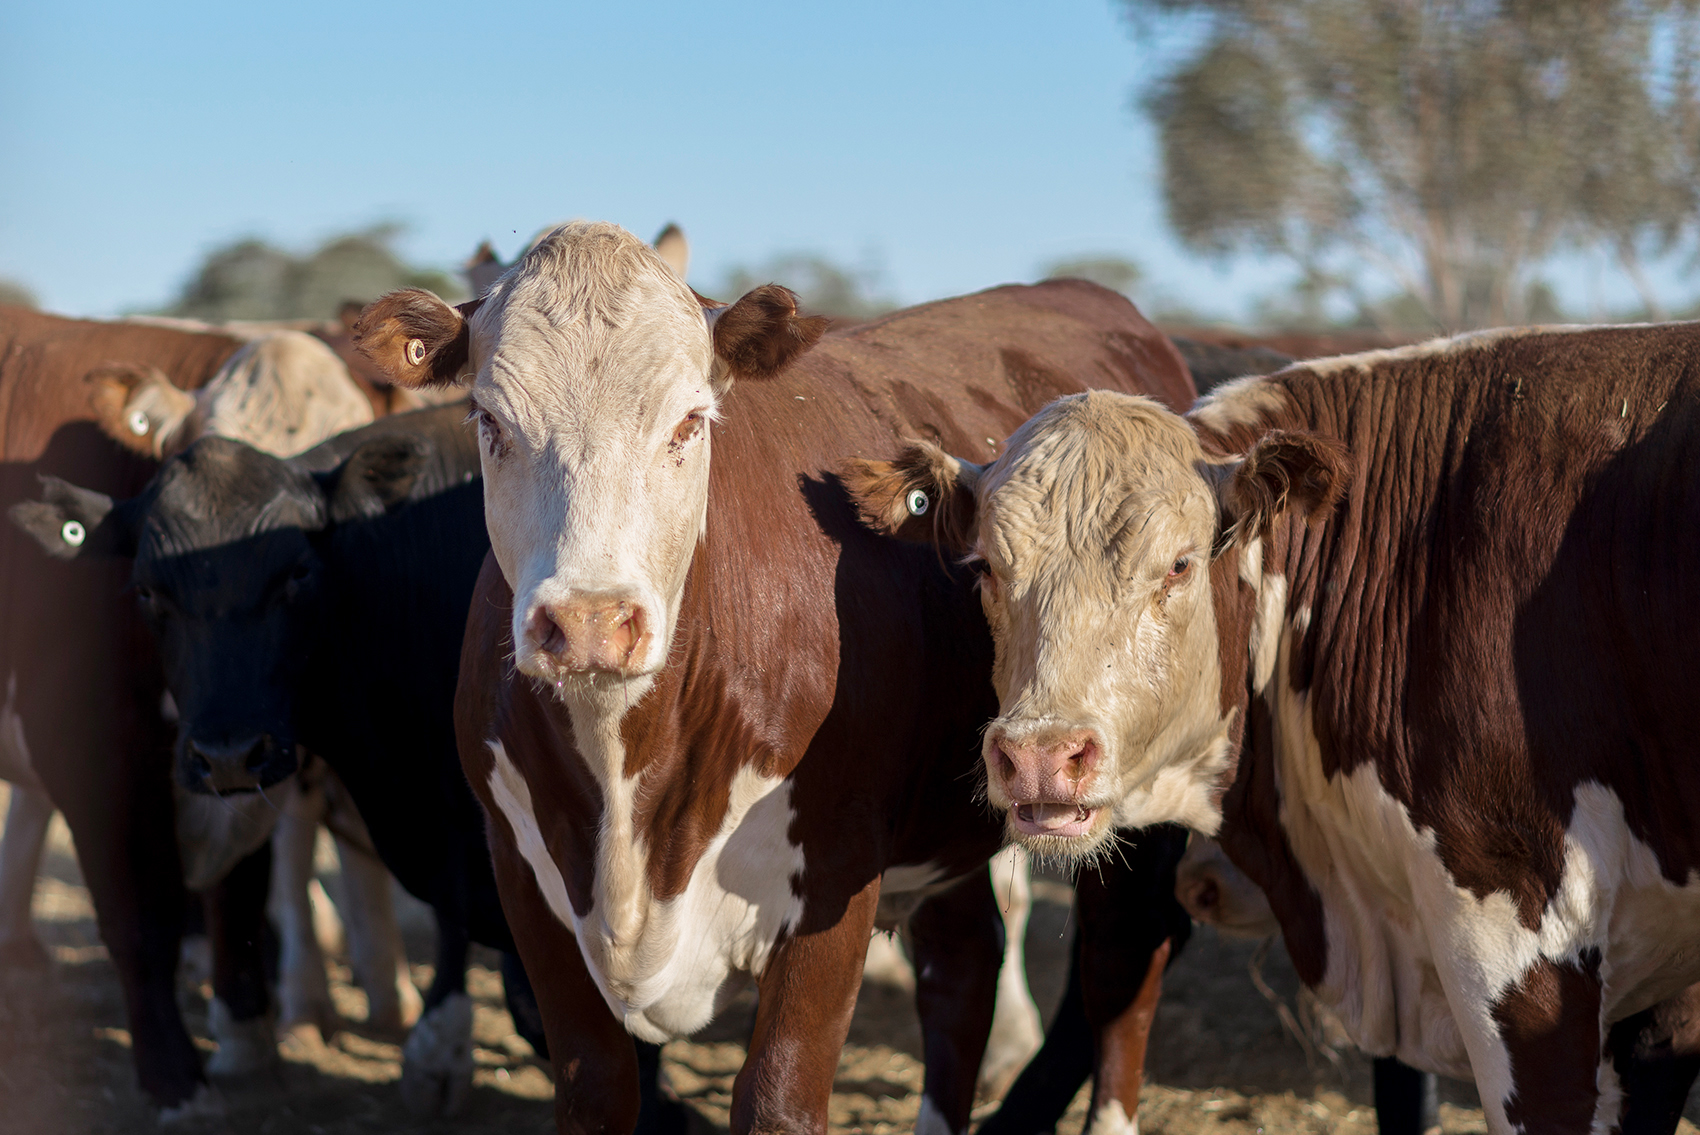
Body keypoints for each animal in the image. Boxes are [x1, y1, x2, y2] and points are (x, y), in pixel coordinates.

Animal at [345, 220, 1196, 1135]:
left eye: (688, 422)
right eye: (490, 420)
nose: (590, 622)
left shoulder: (835, 879)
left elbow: (779, 1098)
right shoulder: (525, 876)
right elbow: (598, 1090)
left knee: (1120, 958)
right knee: (962, 967)